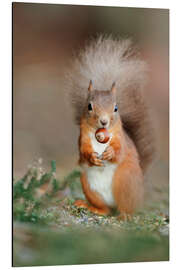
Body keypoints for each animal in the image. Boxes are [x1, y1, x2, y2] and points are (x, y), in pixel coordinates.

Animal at [65, 34, 155, 219]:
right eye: (89, 106)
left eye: (116, 108)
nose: (104, 121)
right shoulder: (83, 137)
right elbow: (83, 151)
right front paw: (92, 157)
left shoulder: (120, 138)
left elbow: (119, 150)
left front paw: (110, 153)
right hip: (88, 185)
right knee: (105, 210)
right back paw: (91, 207)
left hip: (125, 181)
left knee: (125, 207)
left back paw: (125, 215)